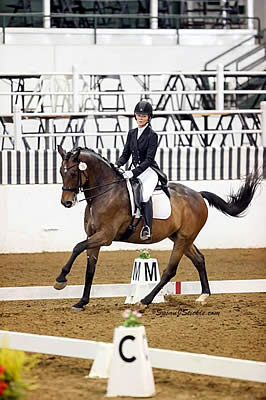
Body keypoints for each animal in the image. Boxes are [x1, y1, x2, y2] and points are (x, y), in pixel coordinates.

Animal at [54, 145, 262, 310]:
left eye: (73, 173)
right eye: (61, 173)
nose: (66, 202)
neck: (105, 193)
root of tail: (198, 194)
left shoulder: (105, 236)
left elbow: (77, 247)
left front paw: (61, 280)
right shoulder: (93, 235)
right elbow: (90, 268)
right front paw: (82, 302)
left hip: (183, 239)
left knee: (170, 270)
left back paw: (145, 301)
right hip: (180, 237)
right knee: (199, 259)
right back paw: (203, 296)